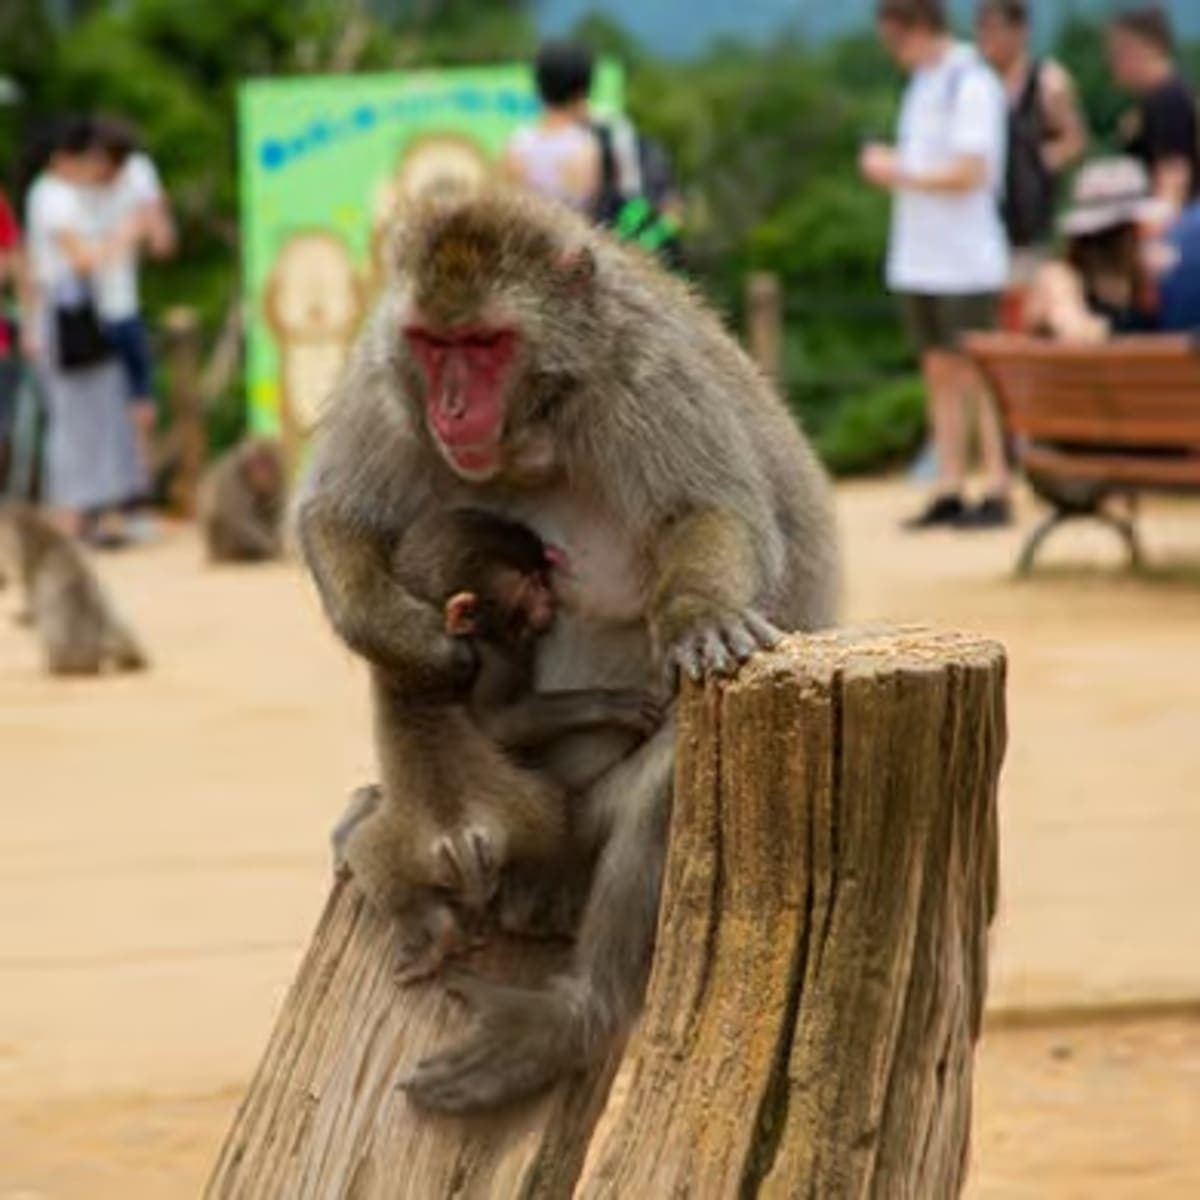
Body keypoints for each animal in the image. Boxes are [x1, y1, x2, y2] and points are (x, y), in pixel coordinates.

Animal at [0, 503, 149, 675]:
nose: (3, 579)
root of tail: (100, 647)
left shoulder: (31, 586)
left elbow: (30, 607)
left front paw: (22, 617)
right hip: (119, 626)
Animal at [332, 506, 661, 982]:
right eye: (533, 583)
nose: (550, 602)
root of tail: (457, 834)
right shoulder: (493, 653)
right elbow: (503, 723)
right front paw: (612, 705)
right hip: (526, 813)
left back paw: (438, 931)